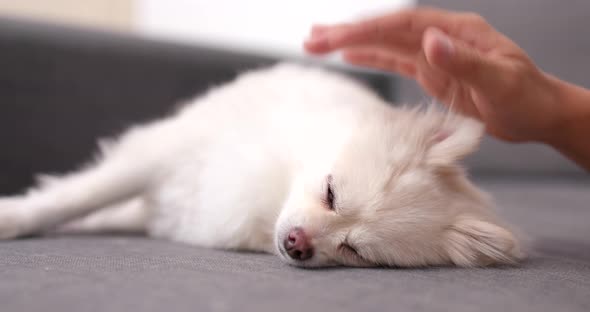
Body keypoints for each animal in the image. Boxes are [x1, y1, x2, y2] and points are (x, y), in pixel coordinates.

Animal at [0, 63, 524, 268]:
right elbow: (76, 195)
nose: (298, 244)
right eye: (330, 192)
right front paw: (15, 217)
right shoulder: (161, 155)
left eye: (353, 250)